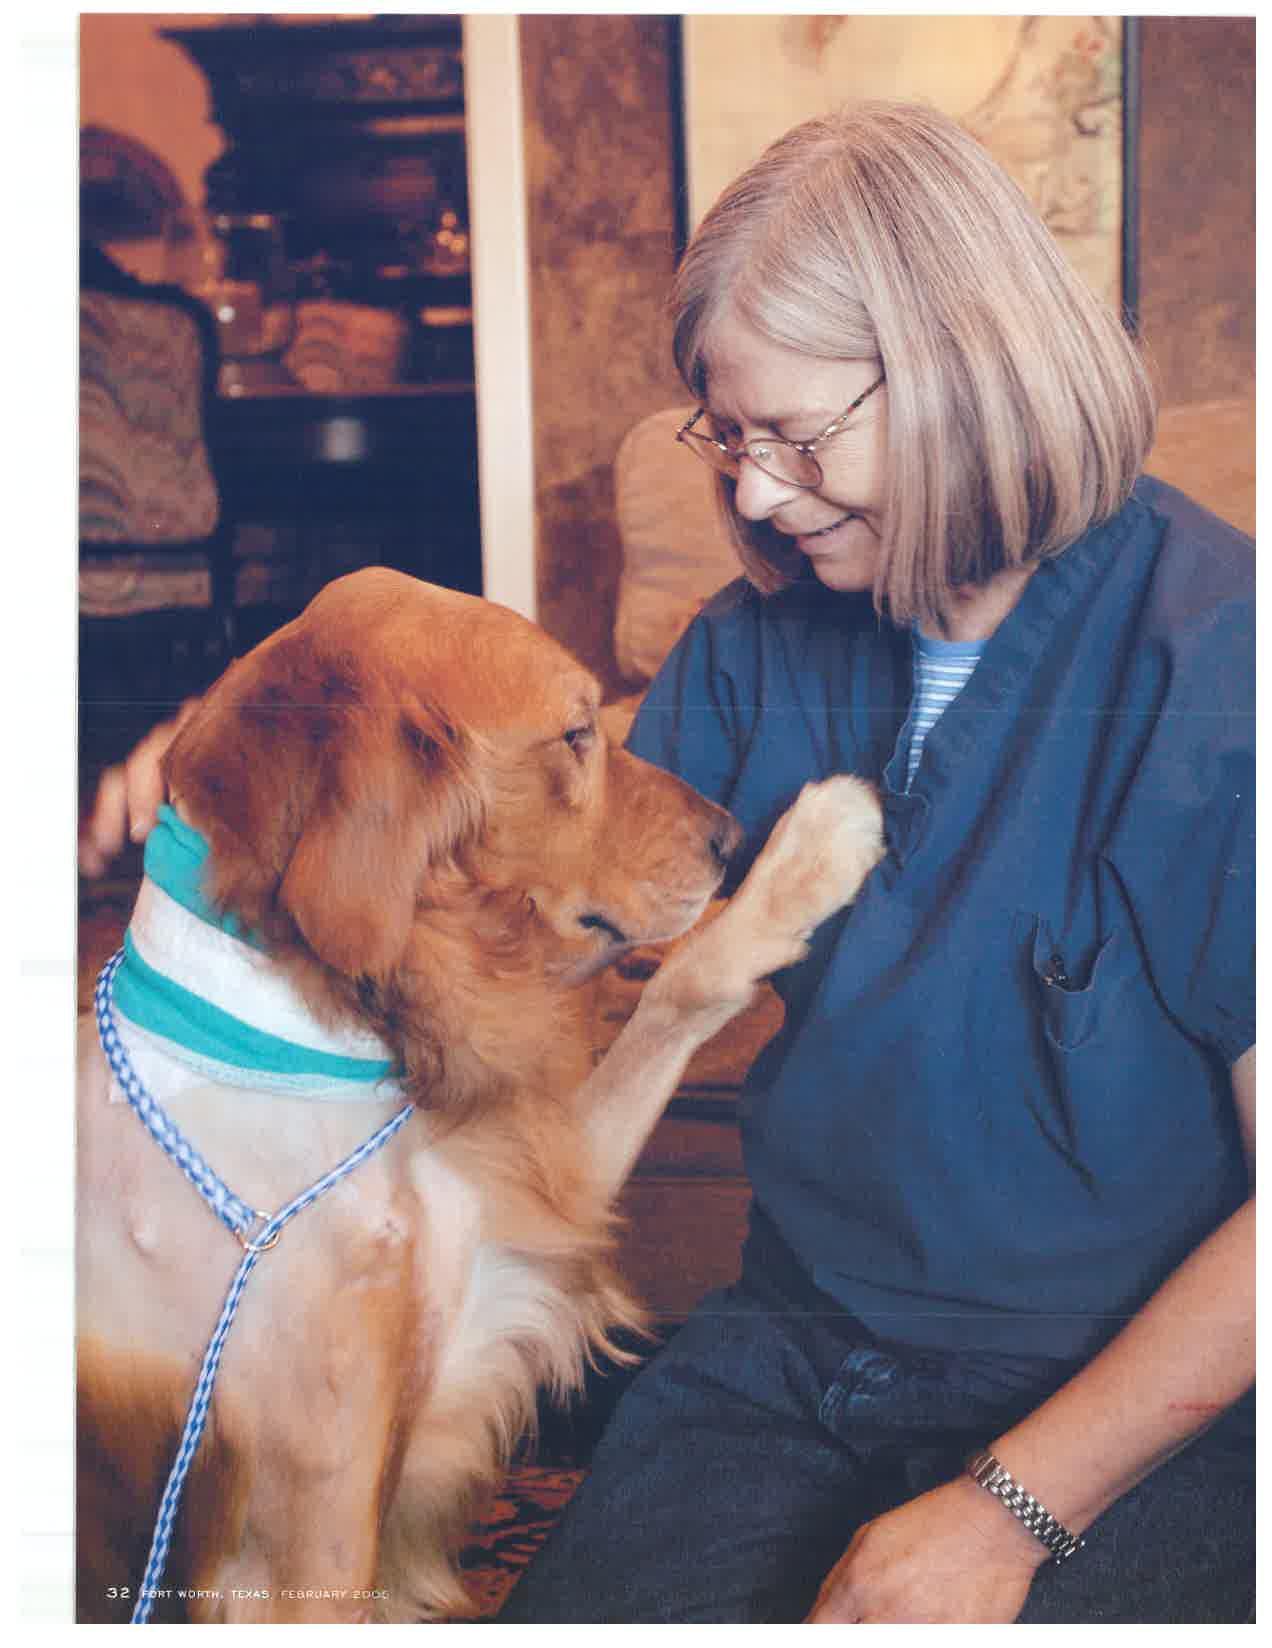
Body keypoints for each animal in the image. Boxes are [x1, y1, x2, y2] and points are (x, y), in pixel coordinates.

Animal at [77, 568, 885, 1622]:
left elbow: (679, 984)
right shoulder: (308, 1547)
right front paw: (819, 844)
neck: (286, 1047)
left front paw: (809, 854)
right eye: (578, 733)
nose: (732, 835)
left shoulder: (485, 1271)